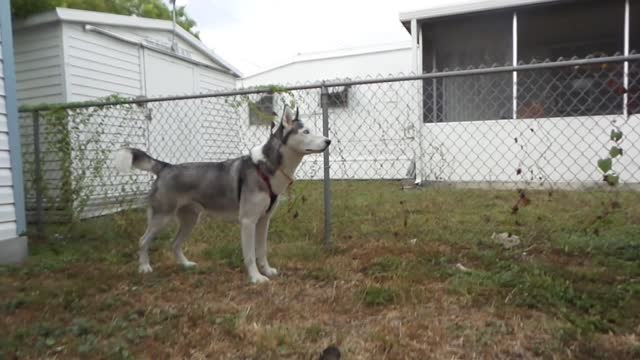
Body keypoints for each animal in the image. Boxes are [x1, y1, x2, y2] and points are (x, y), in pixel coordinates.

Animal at [114, 107, 330, 284]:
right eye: (306, 132)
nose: (329, 141)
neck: (266, 168)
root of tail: (166, 167)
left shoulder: (264, 221)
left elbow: (261, 251)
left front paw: (267, 271)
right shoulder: (248, 221)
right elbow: (250, 255)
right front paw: (256, 278)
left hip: (190, 220)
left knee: (174, 243)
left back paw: (185, 265)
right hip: (162, 218)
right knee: (143, 241)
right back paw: (144, 267)